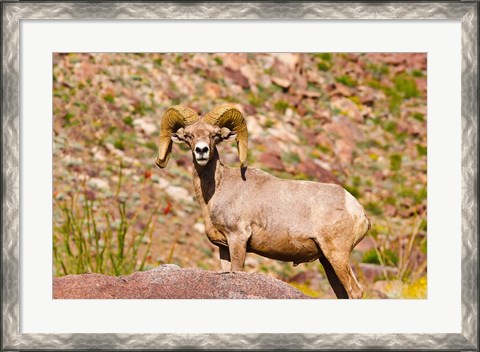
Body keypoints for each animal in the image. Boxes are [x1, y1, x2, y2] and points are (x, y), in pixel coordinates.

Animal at [156, 103, 370, 298]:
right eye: (188, 136)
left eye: (215, 135)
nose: (202, 151)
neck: (218, 190)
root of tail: (358, 211)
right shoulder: (223, 247)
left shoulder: (238, 239)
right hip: (327, 261)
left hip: (337, 255)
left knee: (355, 291)